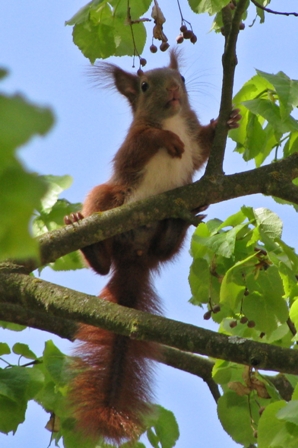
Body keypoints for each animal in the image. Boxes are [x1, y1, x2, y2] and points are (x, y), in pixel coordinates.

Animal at [64, 50, 240, 442]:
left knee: (167, 246)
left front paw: (225, 120)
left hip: (168, 233)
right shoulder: (131, 148)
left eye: (182, 79)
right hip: (111, 196)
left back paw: (178, 222)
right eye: (144, 85)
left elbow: (202, 148)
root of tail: (133, 259)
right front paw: (165, 138)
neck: (173, 120)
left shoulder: (195, 144)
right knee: (102, 253)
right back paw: (87, 237)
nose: (173, 89)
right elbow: (145, 139)